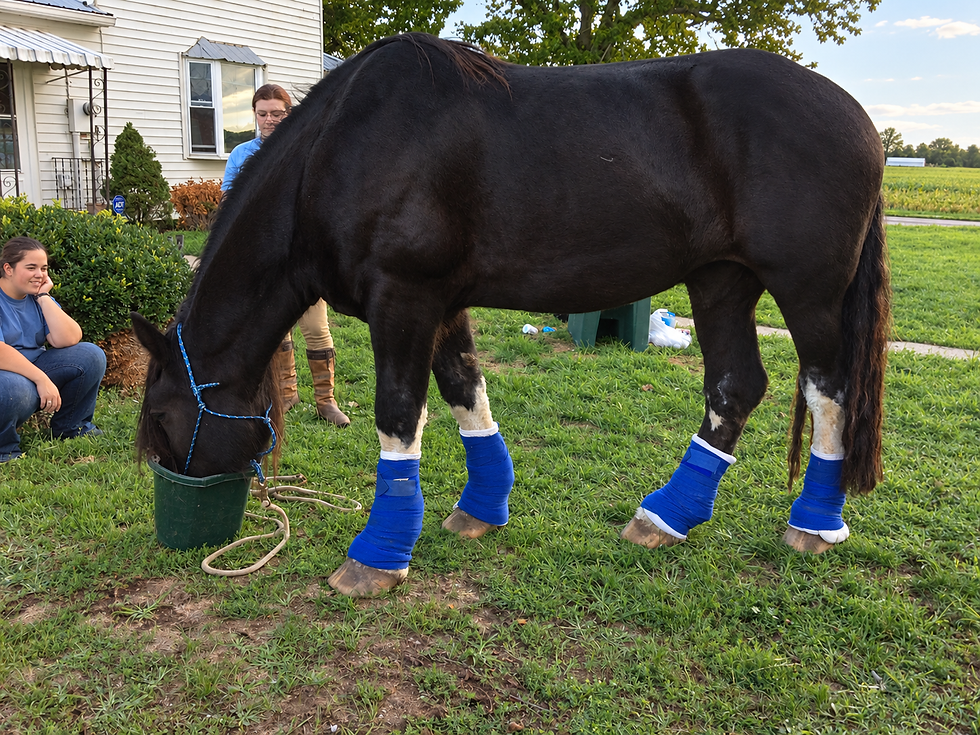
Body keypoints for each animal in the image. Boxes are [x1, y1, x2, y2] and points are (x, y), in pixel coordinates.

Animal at [133, 32, 890, 597]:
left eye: (165, 418)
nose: (177, 520)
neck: (341, 150)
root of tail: (858, 118)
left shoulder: (403, 297)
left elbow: (399, 412)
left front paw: (377, 555)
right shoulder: (442, 301)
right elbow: (465, 390)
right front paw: (480, 509)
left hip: (807, 291)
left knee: (829, 389)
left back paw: (813, 524)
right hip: (720, 281)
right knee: (735, 386)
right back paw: (664, 518)